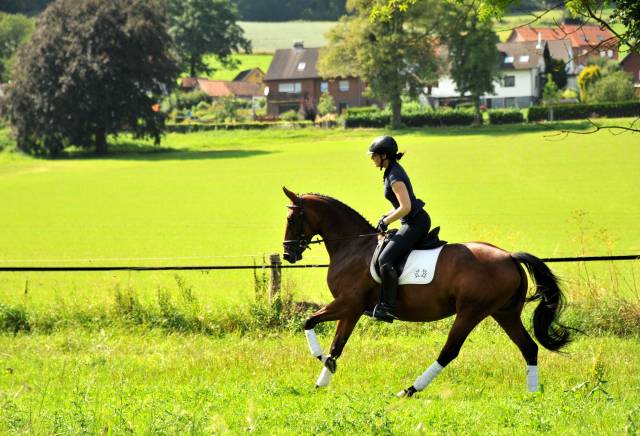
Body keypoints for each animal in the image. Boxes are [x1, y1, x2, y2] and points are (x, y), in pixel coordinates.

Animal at [282, 186, 572, 396]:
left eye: (291, 218)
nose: (288, 254)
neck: (353, 246)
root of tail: (510, 256)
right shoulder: (351, 309)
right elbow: (336, 344)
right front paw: (322, 380)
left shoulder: (348, 304)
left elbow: (309, 321)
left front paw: (321, 359)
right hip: (504, 313)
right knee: (529, 348)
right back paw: (532, 395)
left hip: (471, 312)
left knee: (449, 352)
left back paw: (409, 390)